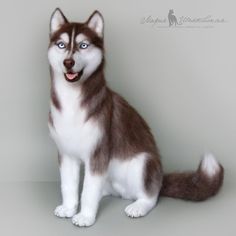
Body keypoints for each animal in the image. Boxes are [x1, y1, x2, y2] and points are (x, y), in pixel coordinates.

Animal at [47, 8, 223, 227]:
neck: (72, 98)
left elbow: (88, 191)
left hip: (144, 162)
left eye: (83, 45)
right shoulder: (66, 153)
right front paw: (70, 208)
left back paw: (139, 205)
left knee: (150, 196)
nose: (68, 62)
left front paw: (86, 216)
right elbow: (68, 186)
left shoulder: (98, 153)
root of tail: (159, 179)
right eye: (61, 45)